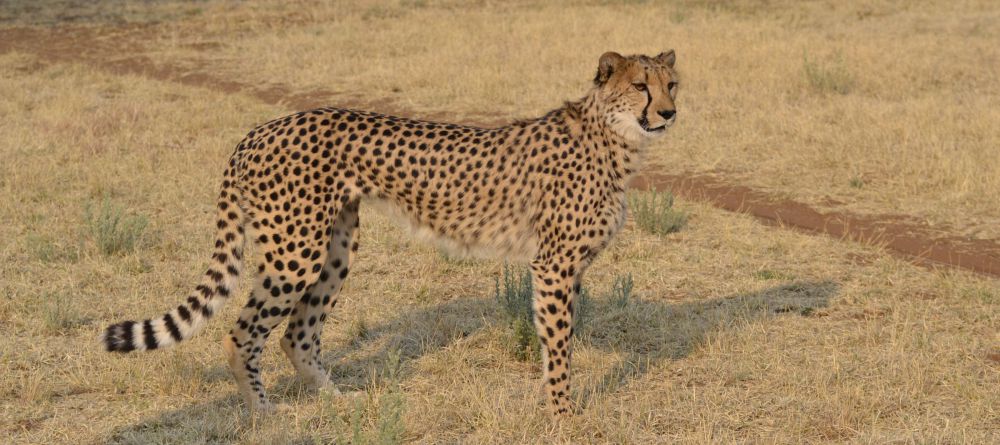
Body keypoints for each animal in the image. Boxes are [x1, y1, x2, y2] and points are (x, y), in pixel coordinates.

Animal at [101, 51, 680, 416]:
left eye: (670, 84)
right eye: (639, 86)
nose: (669, 113)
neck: (613, 138)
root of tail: (259, 130)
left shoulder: (565, 268)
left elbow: (555, 340)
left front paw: (553, 404)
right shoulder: (555, 265)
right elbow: (559, 346)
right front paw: (564, 414)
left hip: (334, 249)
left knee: (296, 333)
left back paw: (336, 400)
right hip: (296, 251)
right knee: (243, 331)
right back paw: (263, 413)